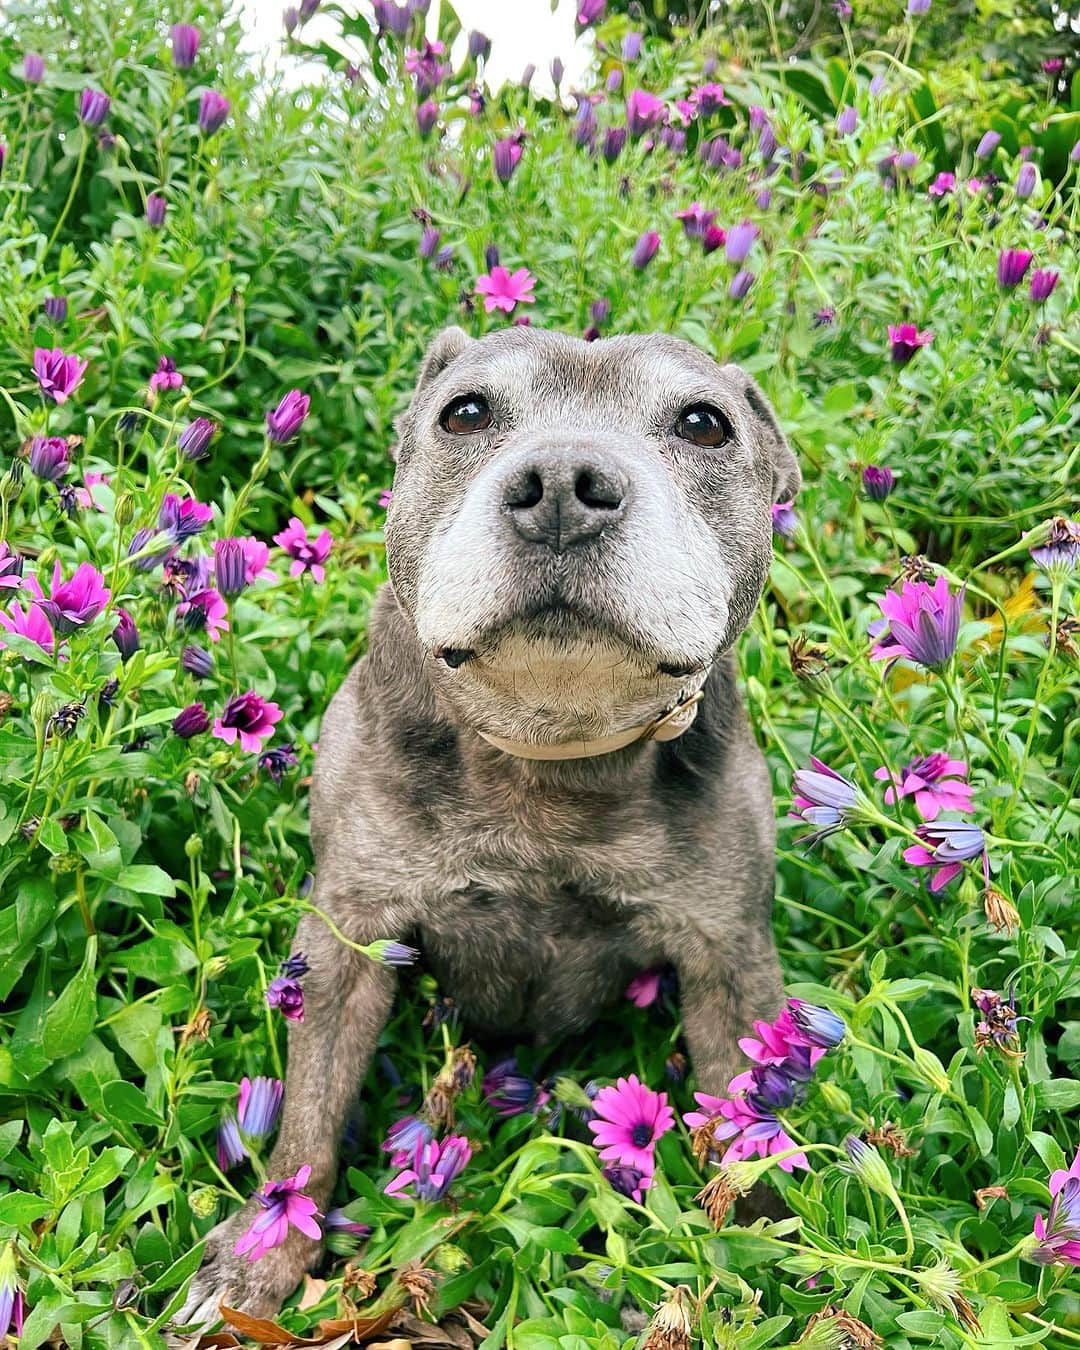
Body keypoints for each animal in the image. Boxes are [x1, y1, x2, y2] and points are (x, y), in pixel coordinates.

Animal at [179, 329, 799, 1328]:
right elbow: (309, 1114)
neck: (549, 748)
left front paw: (761, 1250)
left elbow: (749, 1116)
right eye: (465, 413)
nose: (564, 483)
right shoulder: (348, 939)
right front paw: (260, 1255)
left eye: (705, 423)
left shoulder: (727, 957)